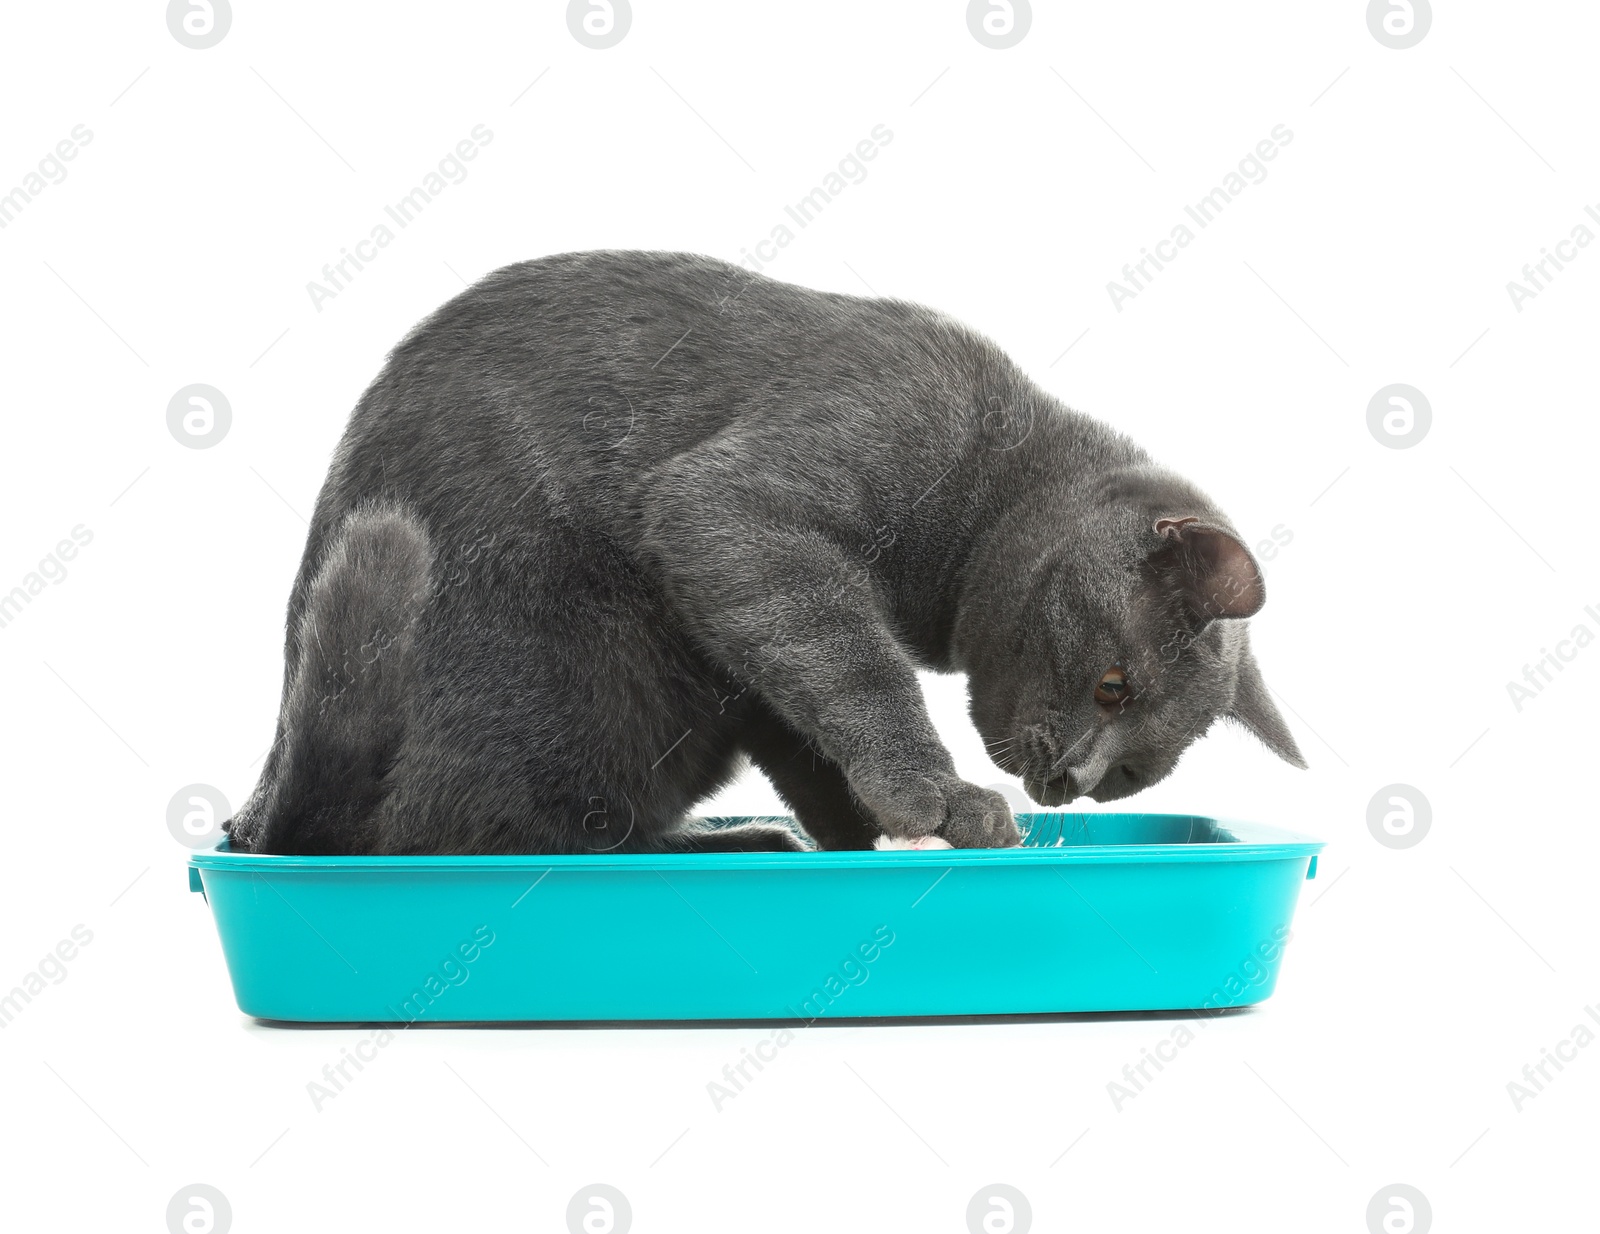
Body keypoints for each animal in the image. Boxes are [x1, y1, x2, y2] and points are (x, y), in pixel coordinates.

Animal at [225, 248, 1299, 851]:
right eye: (1113, 688)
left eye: (1135, 774)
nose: (1074, 781)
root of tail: (273, 817)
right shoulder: (741, 514)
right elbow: (860, 669)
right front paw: (938, 800)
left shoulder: (744, 636)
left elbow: (807, 717)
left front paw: (865, 830)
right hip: (586, 656)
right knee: (495, 841)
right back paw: (736, 846)